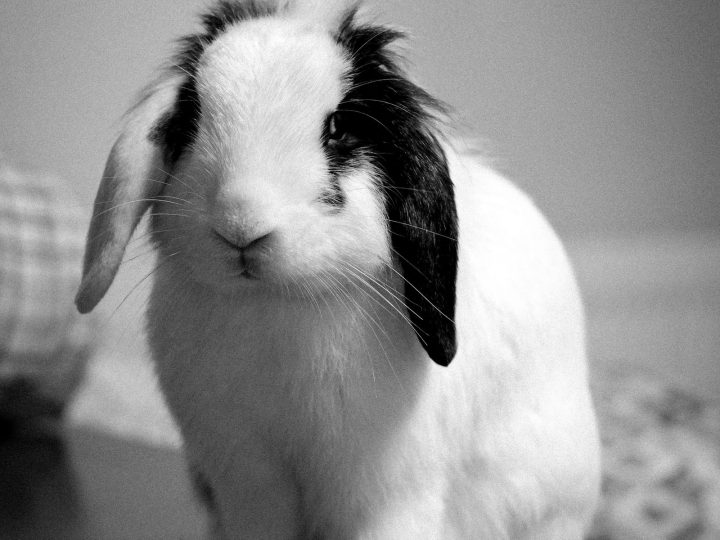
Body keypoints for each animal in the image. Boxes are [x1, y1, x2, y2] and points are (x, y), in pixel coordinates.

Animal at [75, 1, 601, 538]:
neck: (276, 302)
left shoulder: (382, 492)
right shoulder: (247, 484)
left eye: (340, 128)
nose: (241, 225)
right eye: (192, 117)